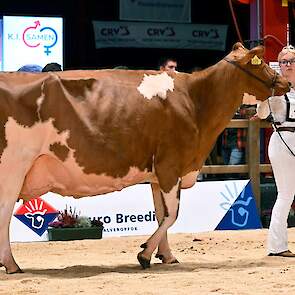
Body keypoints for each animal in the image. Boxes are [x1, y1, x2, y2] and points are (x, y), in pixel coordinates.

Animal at [0, 42, 290, 276]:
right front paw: (144, 253)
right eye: (260, 63)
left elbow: (161, 215)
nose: (286, 83)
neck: (195, 99)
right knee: (4, 212)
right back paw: (11, 264)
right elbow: (173, 215)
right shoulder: (169, 165)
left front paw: (166, 255)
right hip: (13, 166)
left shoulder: (156, 175)